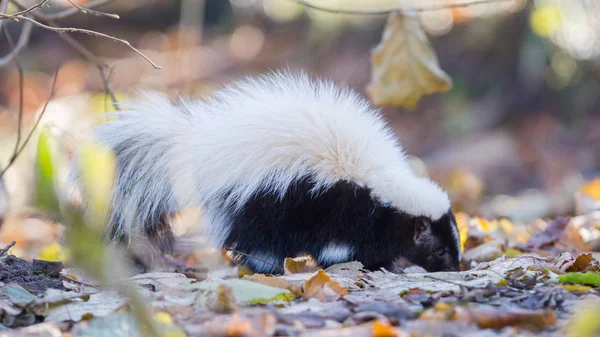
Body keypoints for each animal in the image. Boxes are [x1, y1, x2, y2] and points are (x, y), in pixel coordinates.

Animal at [81, 72, 464, 272]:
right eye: (440, 251)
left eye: (453, 245)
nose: (456, 268)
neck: (382, 186)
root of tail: (200, 148)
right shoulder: (342, 205)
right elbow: (340, 244)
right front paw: (358, 261)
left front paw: (384, 261)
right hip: (255, 201)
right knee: (254, 240)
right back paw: (267, 265)